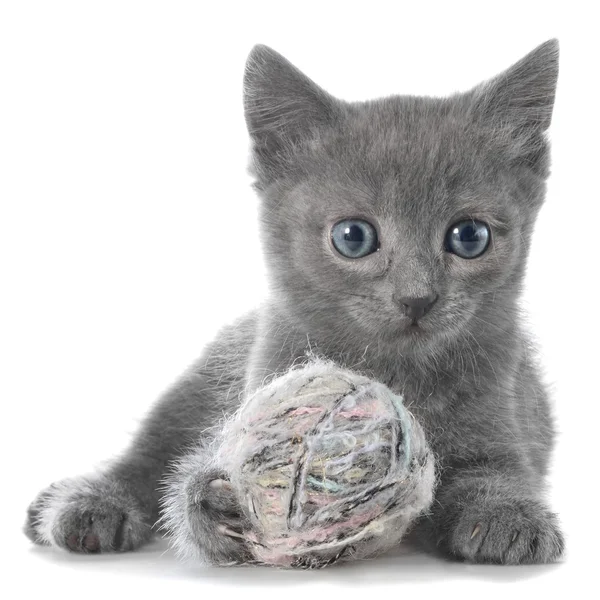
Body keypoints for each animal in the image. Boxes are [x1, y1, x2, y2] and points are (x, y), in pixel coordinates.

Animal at [25, 41, 564, 568]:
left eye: (470, 236)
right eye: (353, 236)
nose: (416, 298)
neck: (398, 372)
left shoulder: (505, 420)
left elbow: (496, 474)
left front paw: (506, 515)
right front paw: (214, 506)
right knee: (147, 455)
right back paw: (91, 504)